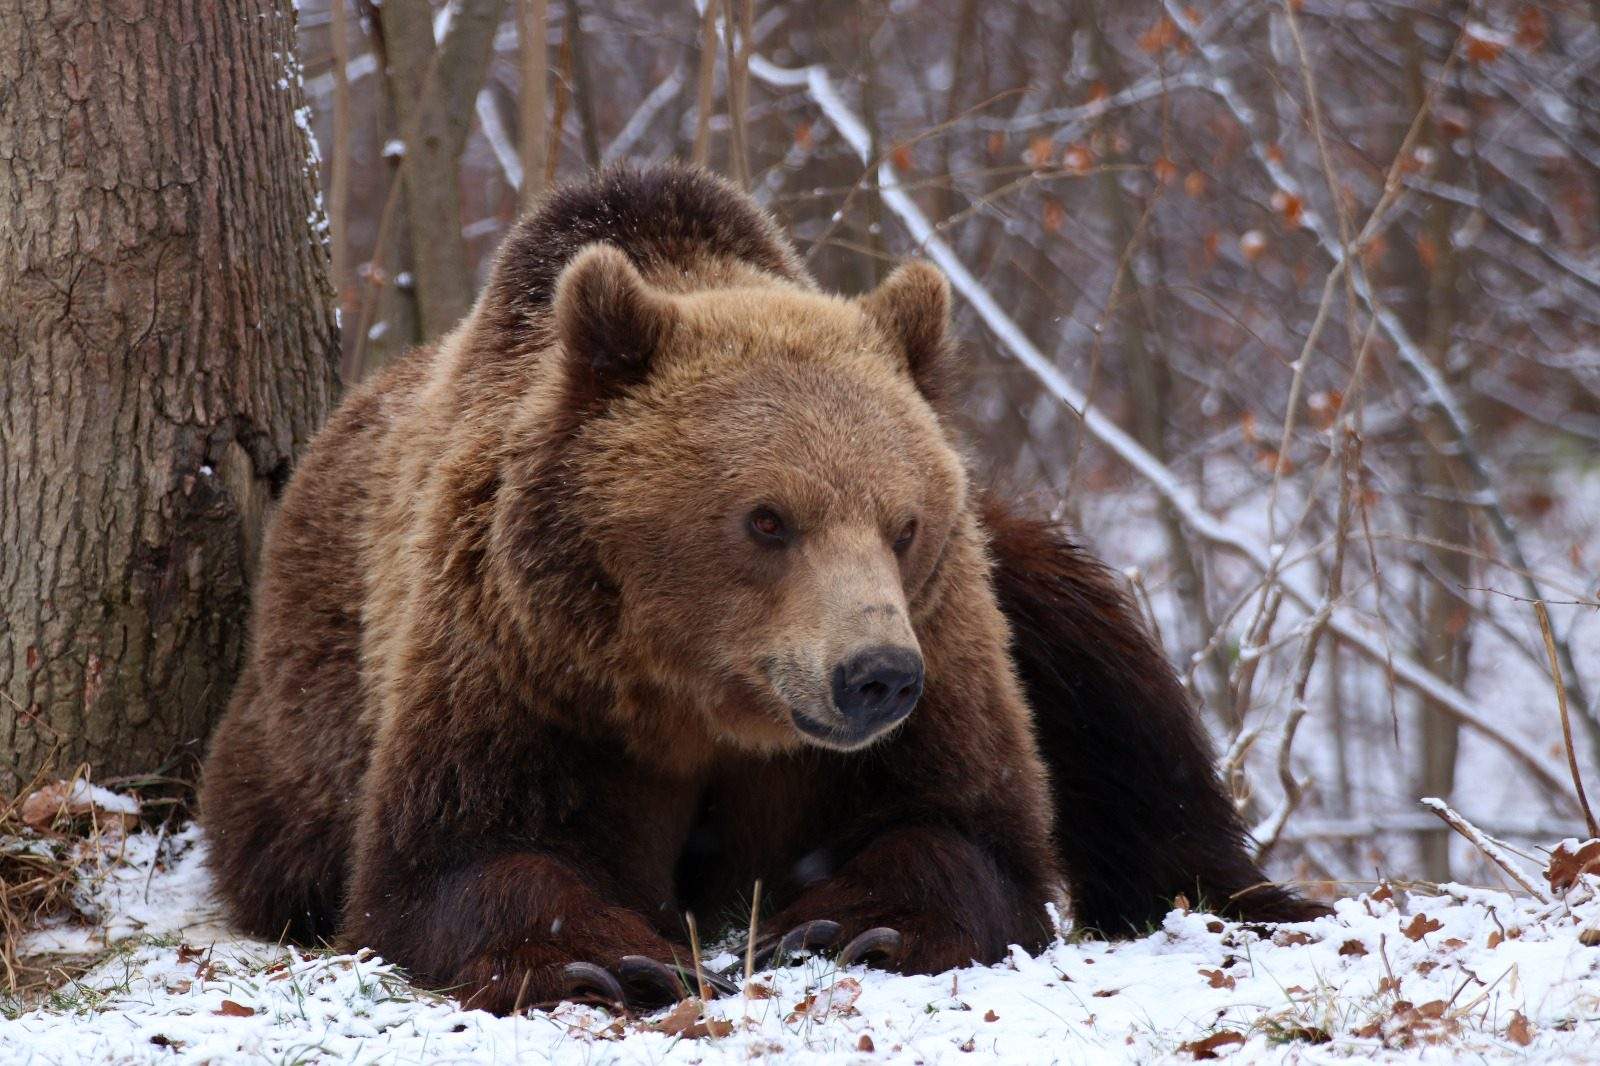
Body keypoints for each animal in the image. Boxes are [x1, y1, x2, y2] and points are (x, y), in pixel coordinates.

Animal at [200, 161, 1324, 1011]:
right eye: (766, 518)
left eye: (903, 522)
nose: (875, 674)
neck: (697, 694)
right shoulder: (520, 660)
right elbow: (457, 853)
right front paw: (612, 956)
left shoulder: (942, 648)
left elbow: (966, 827)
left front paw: (841, 922)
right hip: (301, 717)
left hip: (1020, 577)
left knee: (1117, 697)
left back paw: (1257, 894)